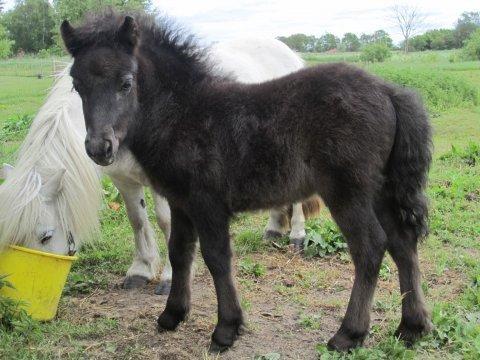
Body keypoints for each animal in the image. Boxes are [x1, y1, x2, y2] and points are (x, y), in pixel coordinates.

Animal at [1, 38, 320, 294]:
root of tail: (288, 52)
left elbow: (166, 222)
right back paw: (274, 228)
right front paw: (140, 271)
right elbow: (137, 220)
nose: (33, 285)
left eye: (45, 236)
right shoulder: (123, 178)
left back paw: (296, 236)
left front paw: (170, 278)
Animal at [62, 12, 434, 352]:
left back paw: (348, 334)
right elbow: (180, 253)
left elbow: (216, 258)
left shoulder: (207, 204)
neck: (182, 115)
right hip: (381, 191)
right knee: (402, 243)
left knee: (370, 247)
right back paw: (412, 327)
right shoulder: (181, 202)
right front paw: (172, 315)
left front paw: (226, 330)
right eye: (77, 86)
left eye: (126, 82)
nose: (99, 148)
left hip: (348, 193)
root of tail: (388, 90)